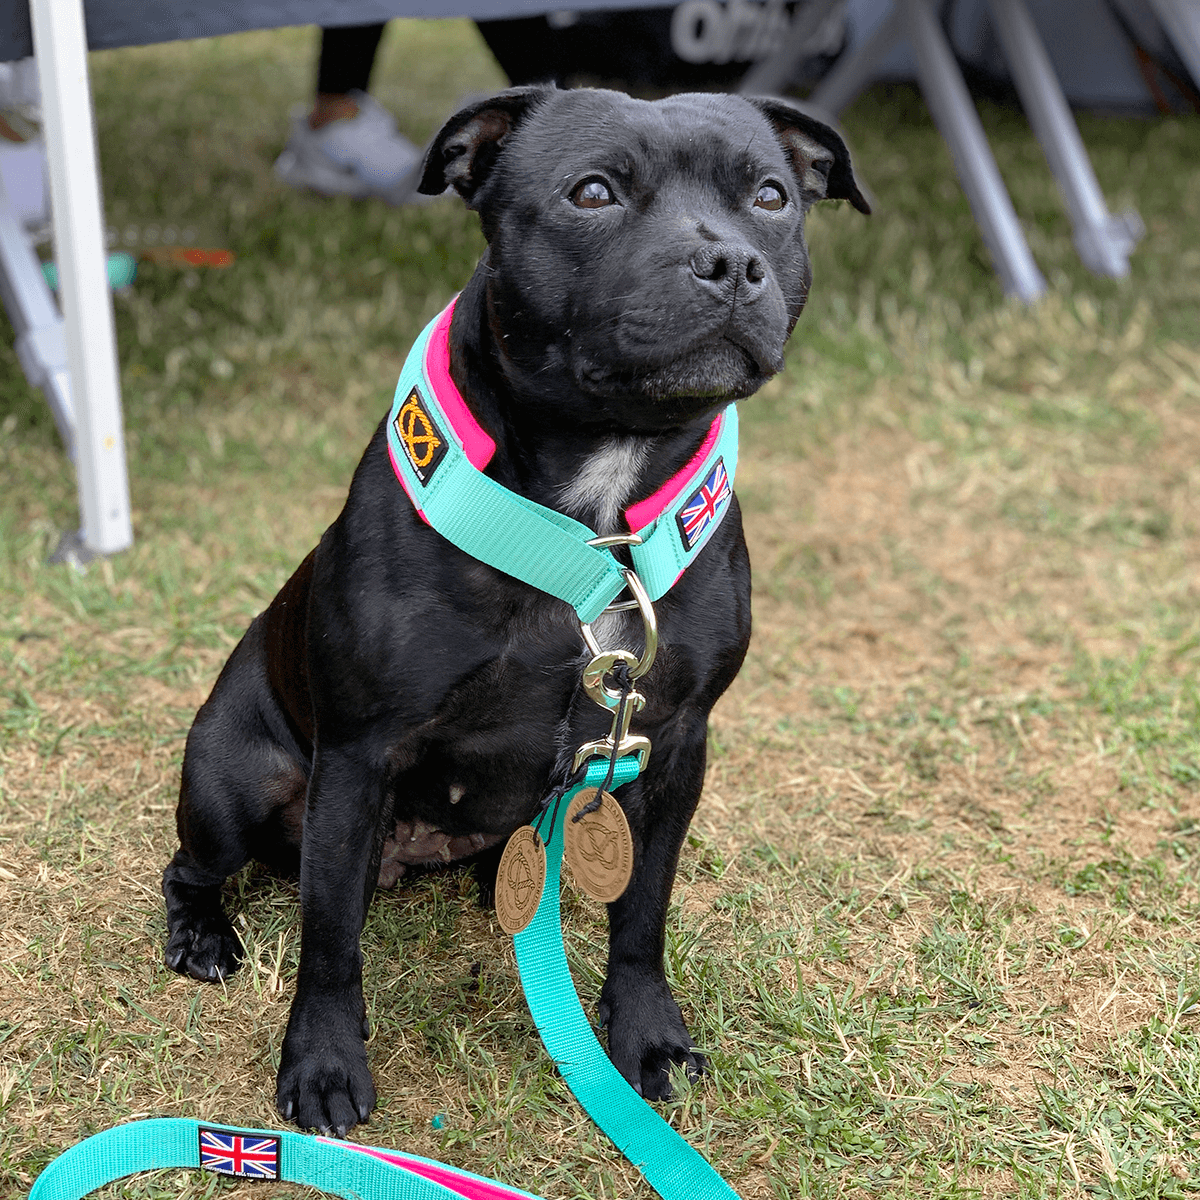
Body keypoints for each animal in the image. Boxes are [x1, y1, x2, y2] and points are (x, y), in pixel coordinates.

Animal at [164, 84, 868, 1132]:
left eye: (771, 198)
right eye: (592, 192)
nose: (731, 263)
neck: (600, 521)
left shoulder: (673, 746)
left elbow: (643, 910)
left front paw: (646, 1038)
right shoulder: (359, 754)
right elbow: (329, 945)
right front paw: (323, 1065)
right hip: (233, 779)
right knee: (198, 865)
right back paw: (202, 934)